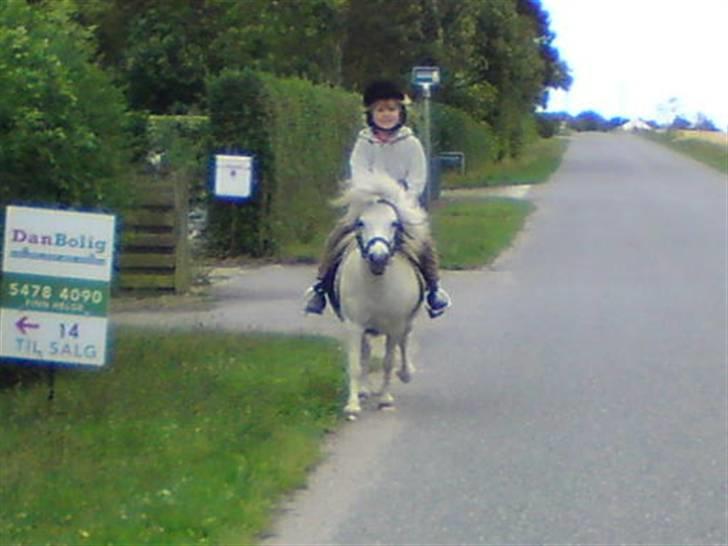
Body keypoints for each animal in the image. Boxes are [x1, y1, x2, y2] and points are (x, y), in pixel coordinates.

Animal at [328, 172, 430, 418]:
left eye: (394, 223)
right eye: (361, 223)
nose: (378, 257)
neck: (377, 285)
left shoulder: (394, 326)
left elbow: (388, 362)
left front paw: (385, 399)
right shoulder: (354, 325)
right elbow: (356, 364)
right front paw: (353, 404)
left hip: (407, 321)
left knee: (405, 341)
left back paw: (406, 373)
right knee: (365, 353)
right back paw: (365, 390)